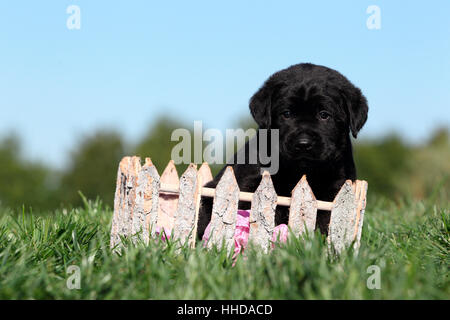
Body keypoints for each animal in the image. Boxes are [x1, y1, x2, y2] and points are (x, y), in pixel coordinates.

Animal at [197, 62, 370, 238]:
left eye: (324, 115)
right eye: (286, 114)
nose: (303, 143)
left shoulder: (336, 188)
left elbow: (326, 220)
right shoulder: (249, 182)